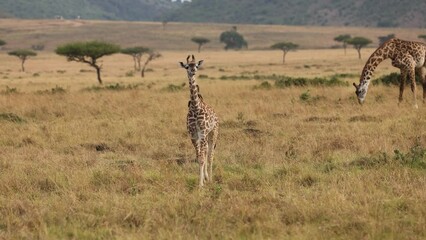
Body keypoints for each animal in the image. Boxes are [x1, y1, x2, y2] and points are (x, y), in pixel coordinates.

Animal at [180, 54, 220, 188]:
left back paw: (211, 178)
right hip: (205, 136)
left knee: (211, 154)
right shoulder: (193, 134)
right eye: (187, 66)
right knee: (206, 151)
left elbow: (202, 158)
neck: (195, 107)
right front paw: (202, 181)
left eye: (196, 65)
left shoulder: (202, 133)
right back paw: (207, 177)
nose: (193, 71)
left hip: (213, 133)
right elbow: (198, 157)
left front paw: (200, 184)